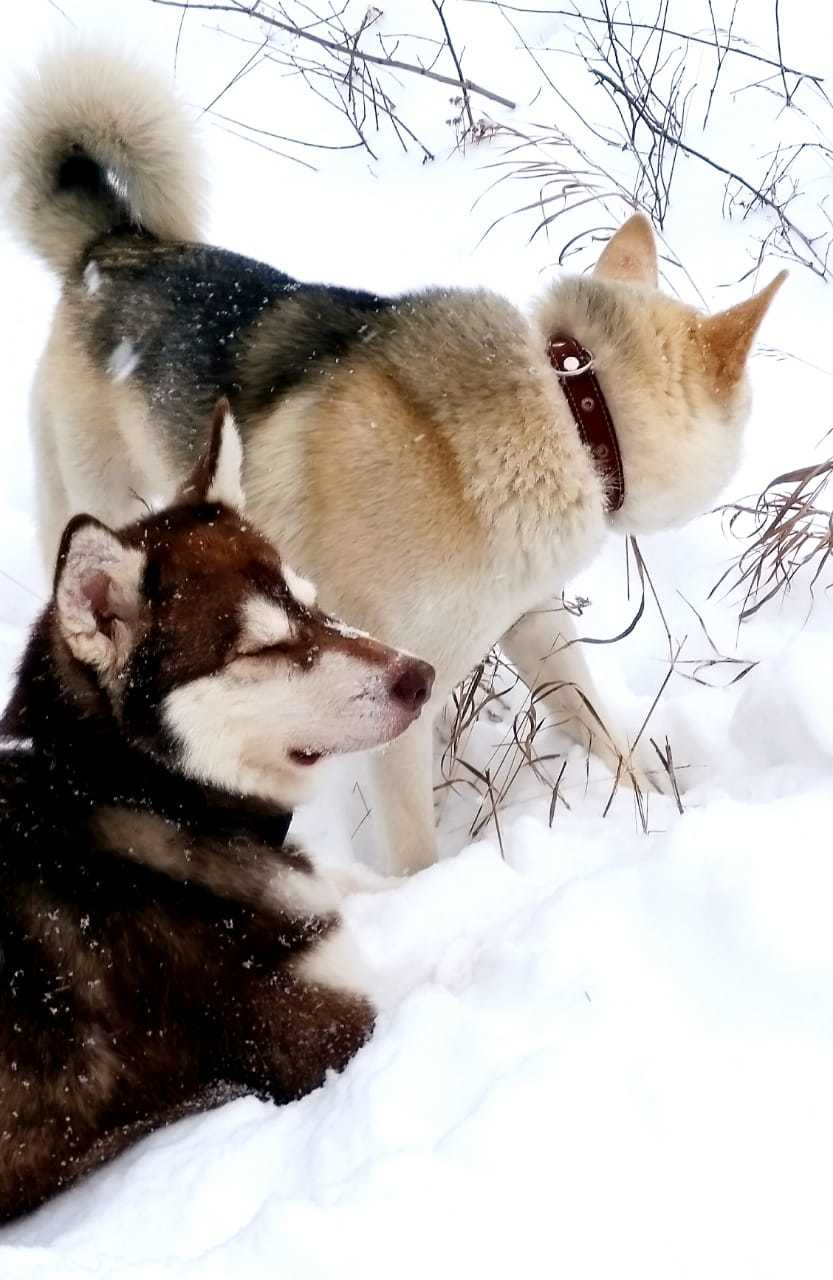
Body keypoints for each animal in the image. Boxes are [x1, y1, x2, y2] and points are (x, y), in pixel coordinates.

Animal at [3, 47, 783, 870]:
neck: (568, 407)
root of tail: (113, 248)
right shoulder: (400, 692)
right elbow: (417, 845)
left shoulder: (531, 622)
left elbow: (593, 720)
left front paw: (650, 803)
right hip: (101, 508)